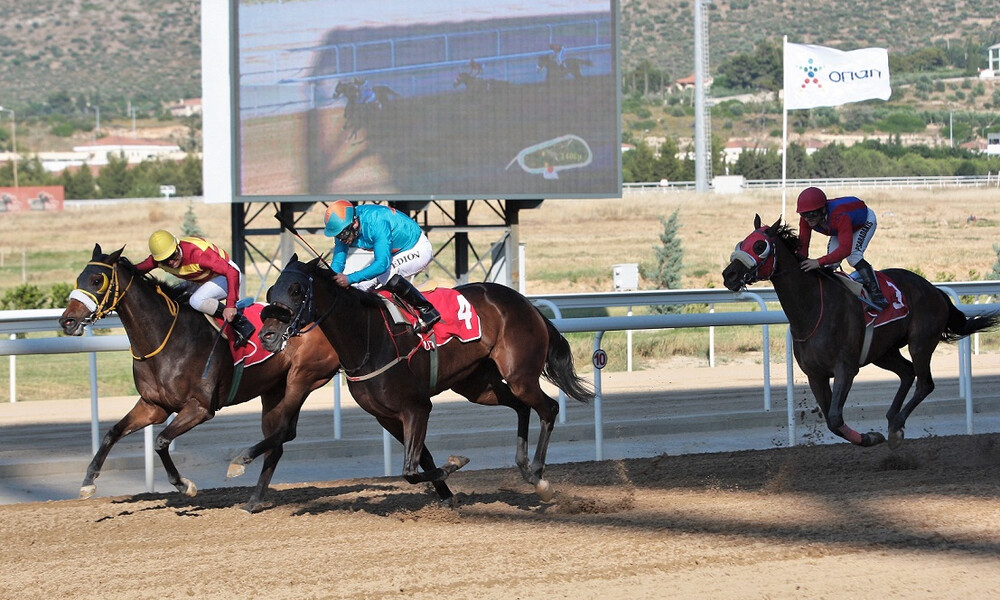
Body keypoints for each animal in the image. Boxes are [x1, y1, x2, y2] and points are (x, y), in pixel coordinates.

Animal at [58, 244, 342, 510]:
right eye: (79, 278)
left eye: (97, 280)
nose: (67, 321)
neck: (166, 338)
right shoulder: (153, 406)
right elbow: (112, 432)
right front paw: (87, 482)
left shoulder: (200, 407)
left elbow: (161, 441)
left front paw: (184, 484)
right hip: (273, 390)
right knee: (278, 441)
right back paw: (253, 500)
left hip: (301, 378)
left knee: (285, 431)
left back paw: (240, 464)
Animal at [258, 255, 592, 504]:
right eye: (271, 291)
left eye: (297, 290)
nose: (267, 336)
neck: (368, 338)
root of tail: (526, 303)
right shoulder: (387, 416)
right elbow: (422, 459)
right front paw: (447, 495)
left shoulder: (416, 407)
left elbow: (410, 468)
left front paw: (454, 465)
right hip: (477, 386)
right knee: (522, 407)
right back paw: (524, 468)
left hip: (520, 374)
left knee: (548, 408)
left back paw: (539, 477)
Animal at [724, 217, 996, 450]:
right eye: (740, 243)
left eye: (759, 245)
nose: (729, 275)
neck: (812, 309)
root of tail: (934, 289)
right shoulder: (815, 375)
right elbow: (831, 421)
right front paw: (871, 436)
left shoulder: (846, 368)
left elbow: (835, 418)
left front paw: (871, 437)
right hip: (883, 352)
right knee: (907, 372)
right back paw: (892, 418)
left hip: (921, 342)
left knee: (924, 383)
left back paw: (896, 427)